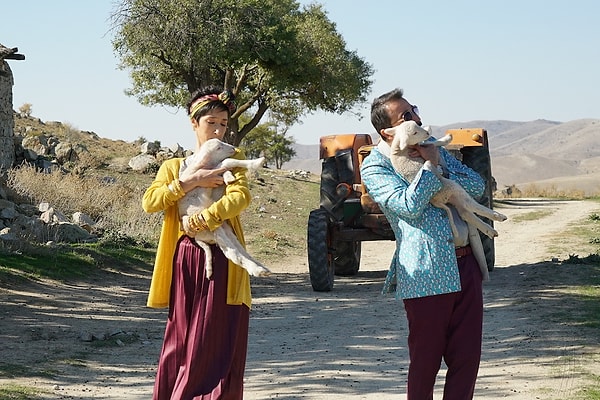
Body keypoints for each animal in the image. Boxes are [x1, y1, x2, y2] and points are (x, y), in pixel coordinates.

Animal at [178, 139, 272, 280]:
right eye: (219, 147)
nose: (233, 148)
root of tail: (198, 238)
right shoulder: (204, 179)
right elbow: (226, 162)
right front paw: (258, 162)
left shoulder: (213, 186)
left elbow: (224, 165)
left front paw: (229, 177)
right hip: (214, 230)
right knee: (232, 253)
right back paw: (256, 270)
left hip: (225, 229)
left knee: (239, 248)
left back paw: (261, 268)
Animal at [384, 120, 506, 280]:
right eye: (415, 132)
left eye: (417, 126)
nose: (427, 132)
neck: (398, 147)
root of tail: (437, 200)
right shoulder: (420, 146)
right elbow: (433, 143)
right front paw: (446, 139)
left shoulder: (418, 146)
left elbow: (430, 143)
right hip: (454, 188)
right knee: (470, 205)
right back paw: (498, 217)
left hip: (453, 197)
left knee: (465, 213)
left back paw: (490, 231)